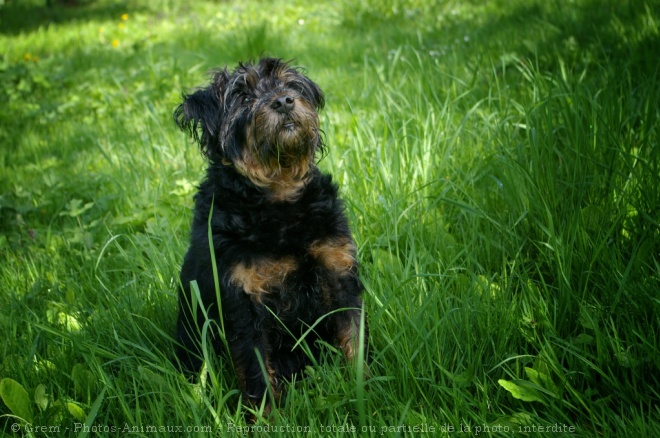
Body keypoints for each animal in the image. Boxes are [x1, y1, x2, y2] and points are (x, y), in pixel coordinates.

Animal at [173, 57, 368, 410]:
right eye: (243, 96)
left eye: (288, 85)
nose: (284, 101)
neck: (279, 199)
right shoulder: (244, 305)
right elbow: (257, 376)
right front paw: (267, 418)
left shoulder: (339, 276)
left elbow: (353, 344)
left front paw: (367, 394)